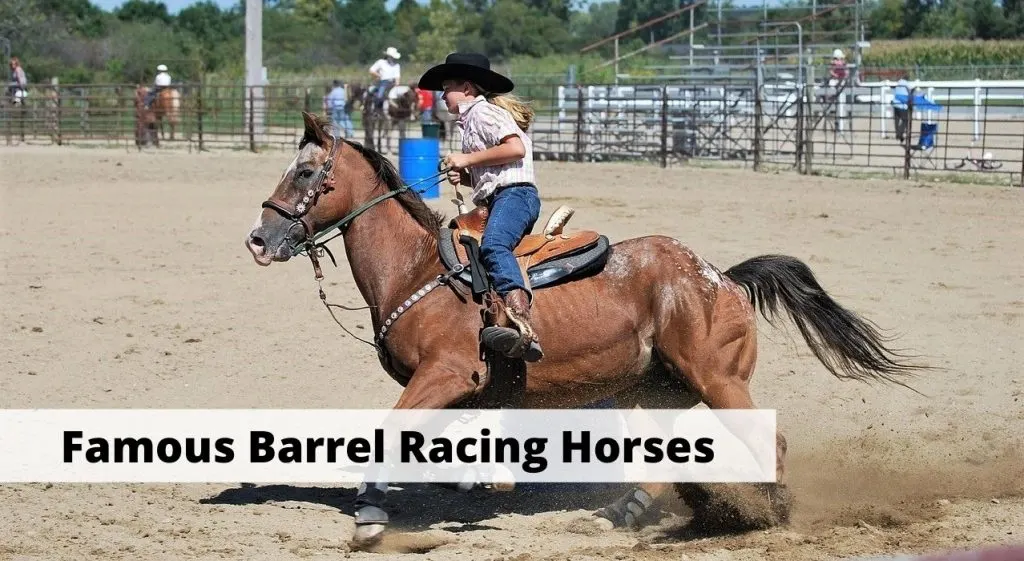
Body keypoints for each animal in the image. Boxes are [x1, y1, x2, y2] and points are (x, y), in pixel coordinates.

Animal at [244, 112, 926, 550]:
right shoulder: (454, 390)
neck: (418, 269)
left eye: (304, 174)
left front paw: (369, 517)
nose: (258, 239)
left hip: (718, 379)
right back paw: (616, 517)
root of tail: (720, 278)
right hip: (651, 390)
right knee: (660, 462)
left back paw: (764, 515)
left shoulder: (445, 375)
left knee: (771, 443)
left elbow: (387, 434)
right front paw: (479, 480)